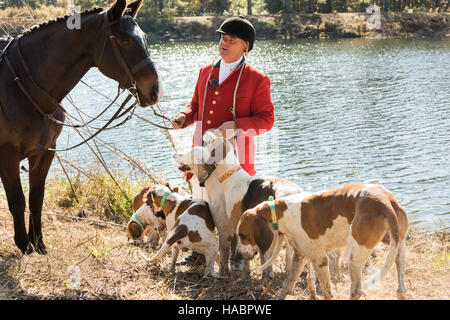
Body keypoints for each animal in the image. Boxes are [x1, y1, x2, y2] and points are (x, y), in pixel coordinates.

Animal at [0, 0, 162, 255]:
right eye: (124, 40)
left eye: (144, 37)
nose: (155, 90)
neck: (19, 86)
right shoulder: (7, 155)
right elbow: (17, 200)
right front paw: (24, 244)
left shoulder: (45, 152)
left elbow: (36, 198)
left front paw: (38, 242)